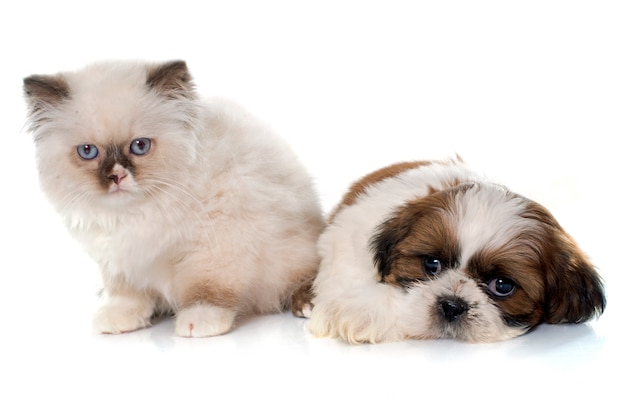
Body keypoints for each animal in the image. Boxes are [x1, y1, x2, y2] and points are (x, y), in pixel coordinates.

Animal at [22, 60, 324, 334]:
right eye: (88, 151)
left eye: (140, 146)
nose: (116, 177)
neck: (139, 212)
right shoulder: (120, 259)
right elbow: (126, 295)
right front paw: (119, 318)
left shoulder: (218, 245)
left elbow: (207, 289)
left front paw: (200, 321)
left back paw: (307, 305)